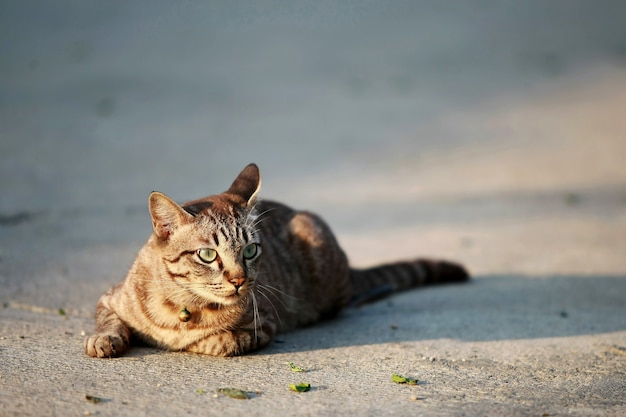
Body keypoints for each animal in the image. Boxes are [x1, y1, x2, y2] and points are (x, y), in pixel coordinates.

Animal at [86, 164, 468, 356]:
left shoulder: (264, 325)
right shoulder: (109, 297)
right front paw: (105, 339)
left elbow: (223, 342)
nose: (239, 280)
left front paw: (196, 340)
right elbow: (109, 321)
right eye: (208, 255)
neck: (184, 305)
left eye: (250, 250)